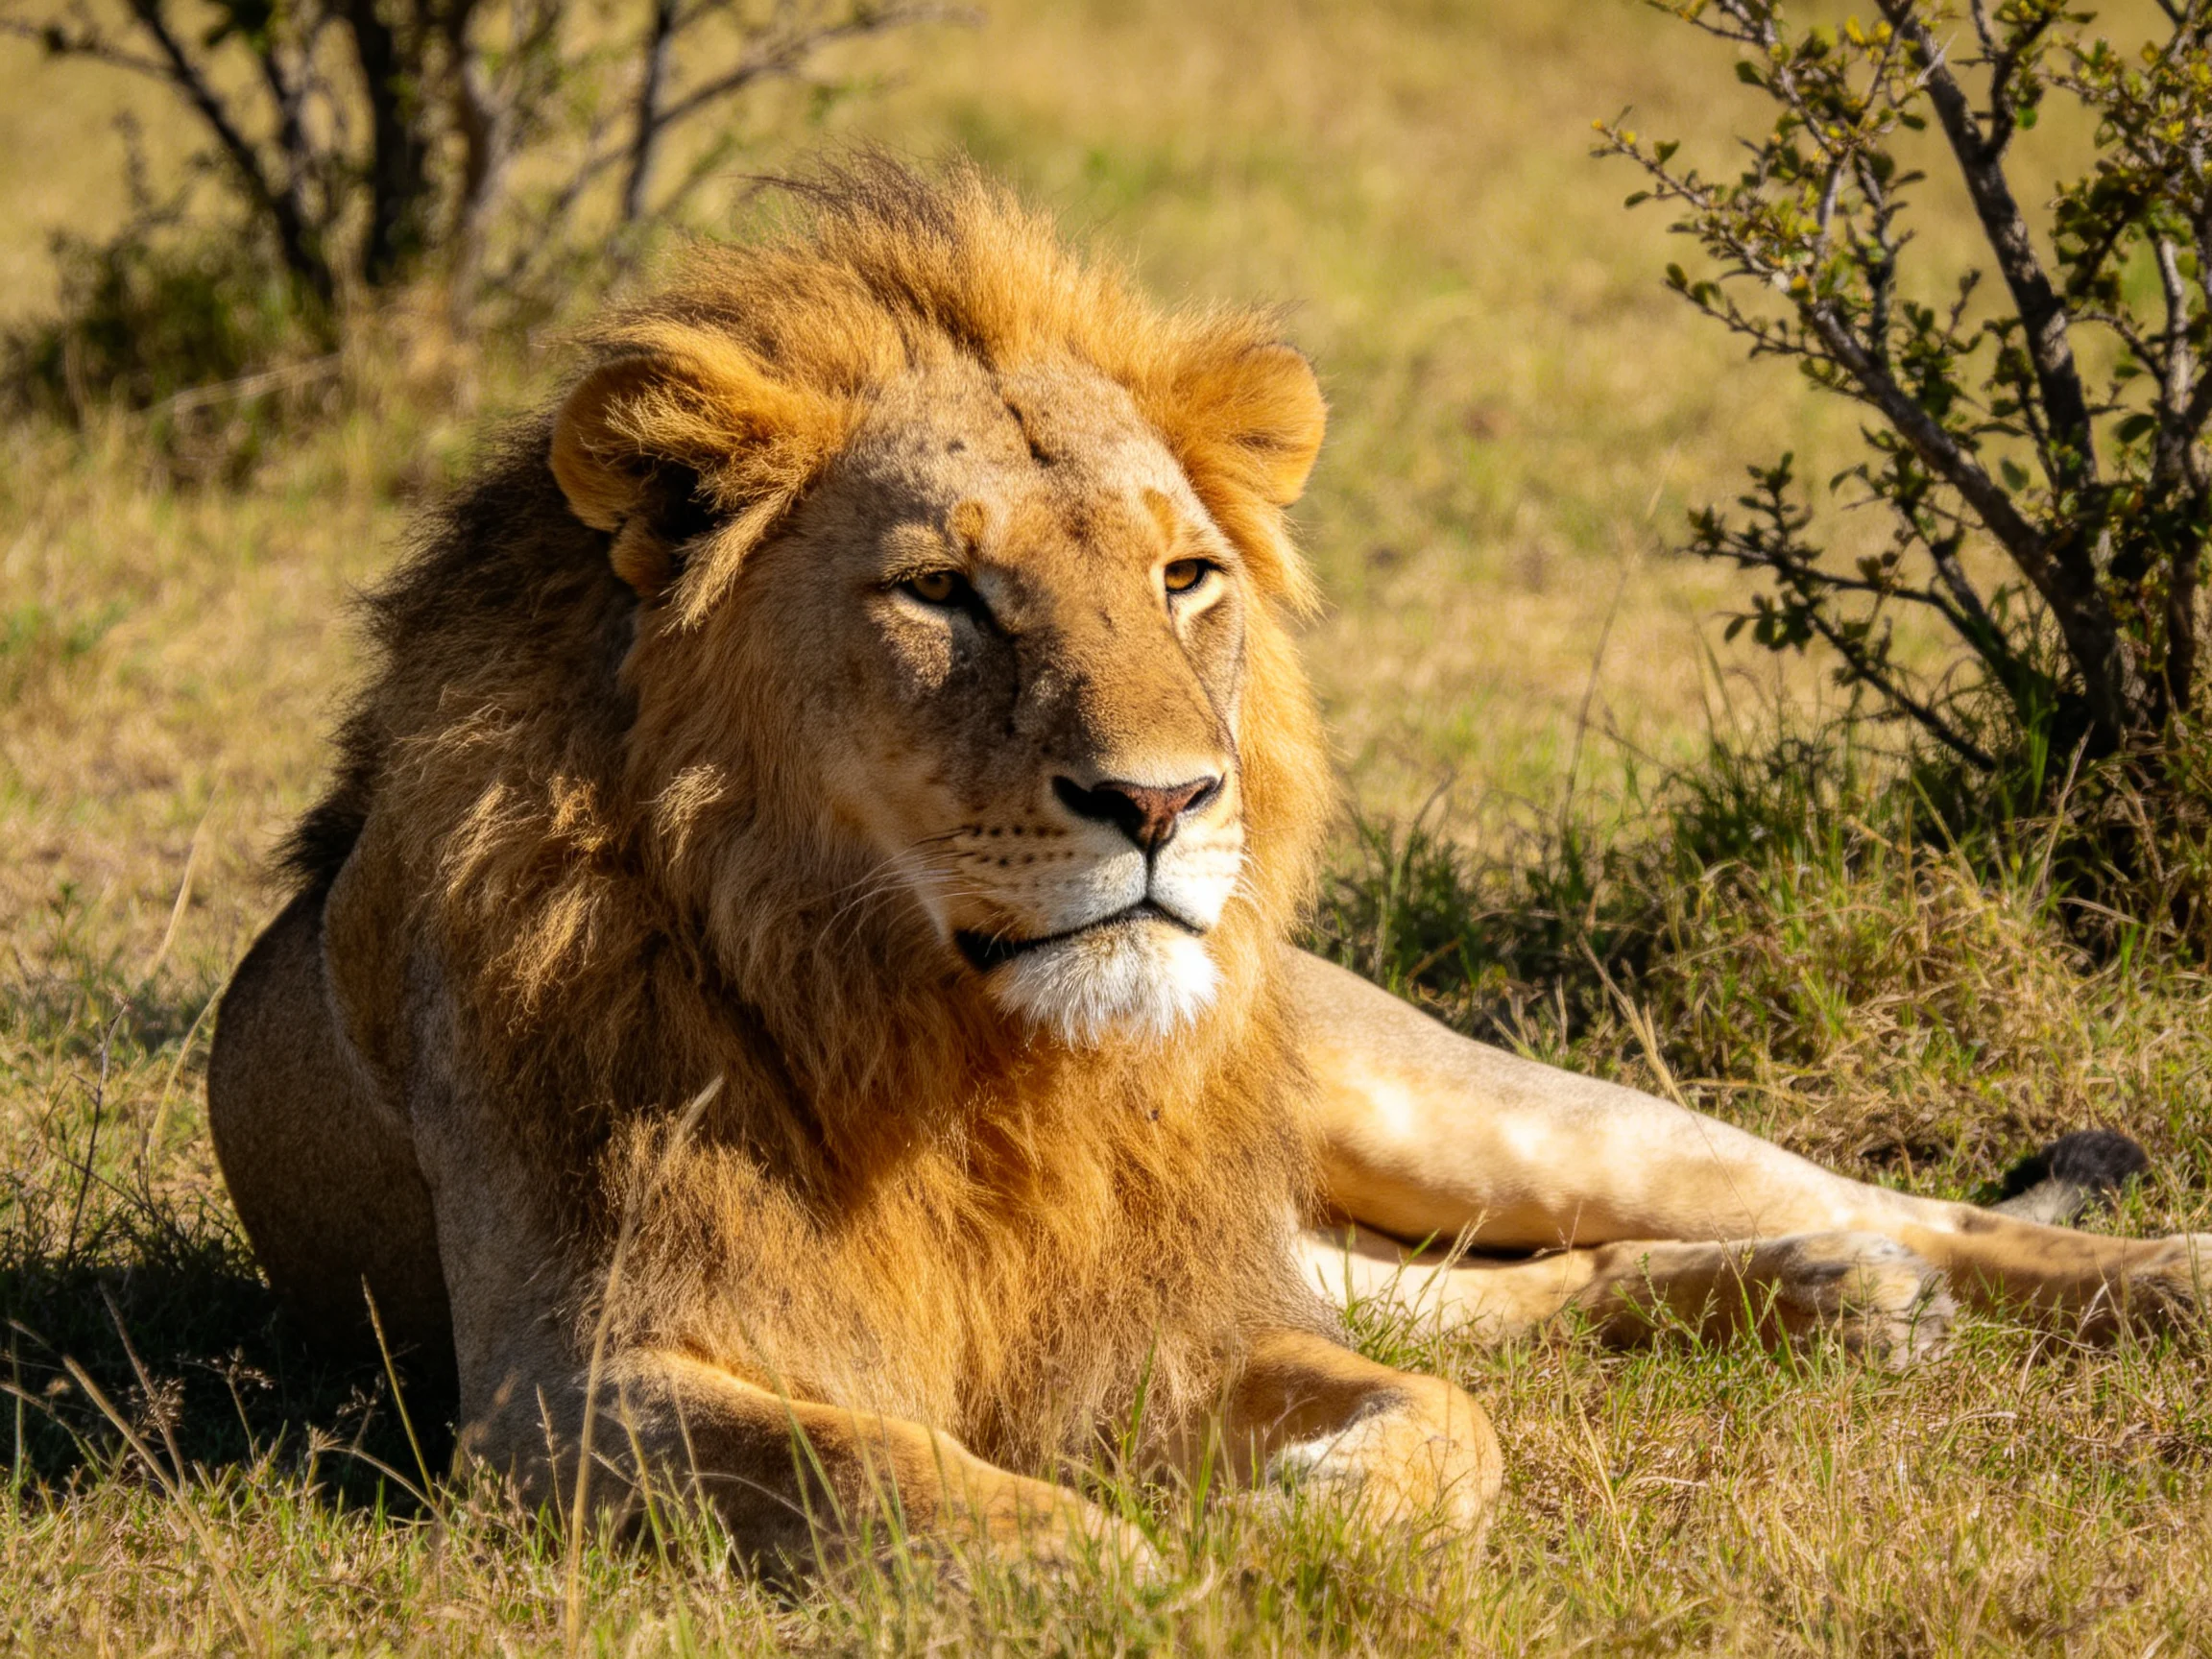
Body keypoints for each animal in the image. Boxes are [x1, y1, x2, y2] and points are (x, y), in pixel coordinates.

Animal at [208, 159, 2207, 1573]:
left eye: (1182, 575)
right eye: (940, 589)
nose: (1165, 800)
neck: (959, 1052)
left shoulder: (1179, 1317)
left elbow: (1443, 1422)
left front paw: (1283, 1523)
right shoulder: (572, 1386)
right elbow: (890, 1478)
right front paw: (1117, 1570)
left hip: (1444, 1101)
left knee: (1876, 1200)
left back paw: (2109, 1280)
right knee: (1551, 1290)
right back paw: (1838, 1300)